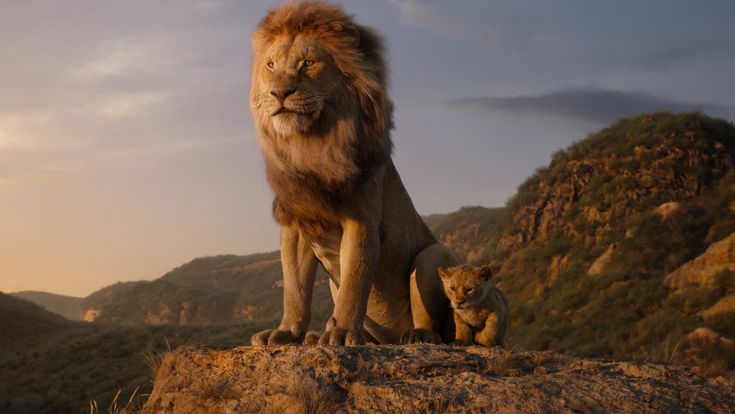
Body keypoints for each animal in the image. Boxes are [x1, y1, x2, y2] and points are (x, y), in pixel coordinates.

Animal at [249, 1, 458, 346]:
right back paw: (315, 337)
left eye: (309, 63)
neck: (311, 144)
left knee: (434, 322)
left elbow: (354, 282)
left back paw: (417, 335)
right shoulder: (296, 223)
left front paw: (343, 332)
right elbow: (294, 288)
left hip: (433, 255)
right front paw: (287, 332)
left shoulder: (361, 219)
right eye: (270, 64)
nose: (280, 93)